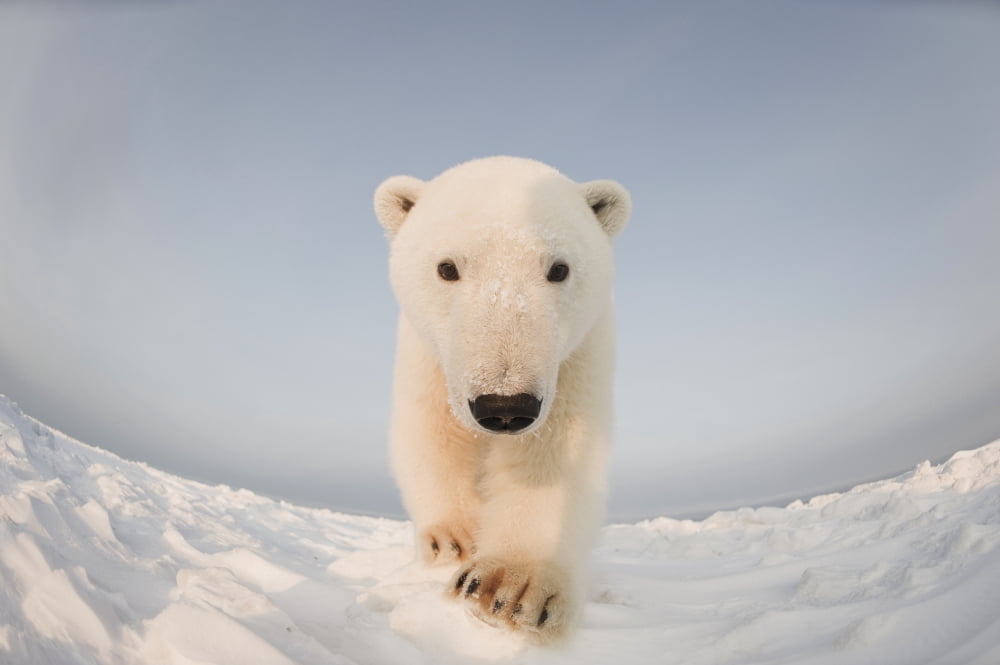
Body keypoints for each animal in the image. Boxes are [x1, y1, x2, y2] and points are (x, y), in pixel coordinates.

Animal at [373, 156, 630, 641]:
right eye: (447, 267)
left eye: (559, 268)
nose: (505, 407)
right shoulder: (428, 357)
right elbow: (431, 432)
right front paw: (453, 539)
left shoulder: (574, 360)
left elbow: (553, 452)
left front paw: (510, 588)